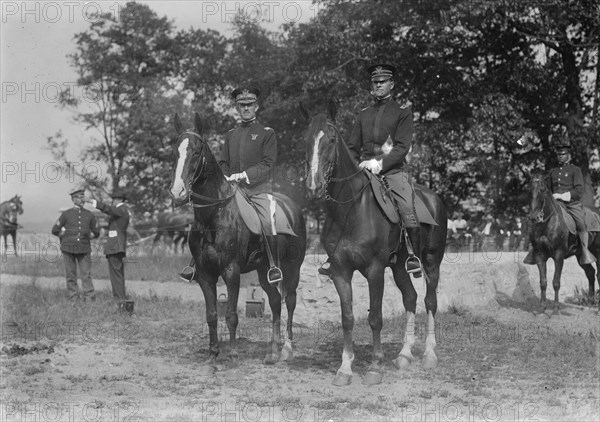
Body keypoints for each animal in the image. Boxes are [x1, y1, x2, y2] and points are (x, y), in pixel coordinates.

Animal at [170, 113, 308, 372]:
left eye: (196, 151)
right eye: (177, 151)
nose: (178, 193)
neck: (214, 215)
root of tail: (293, 207)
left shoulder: (231, 271)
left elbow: (232, 315)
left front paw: (233, 354)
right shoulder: (205, 274)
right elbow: (212, 314)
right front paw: (213, 354)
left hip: (292, 268)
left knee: (290, 301)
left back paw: (287, 349)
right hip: (265, 270)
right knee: (275, 301)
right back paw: (272, 352)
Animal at [304, 107, 446, 388]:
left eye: (331, 140)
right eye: (308, 140)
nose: (314, 187)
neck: (351, 209)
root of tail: (434, 198)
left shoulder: (375, 271)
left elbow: (375, 318)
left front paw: (375, 367)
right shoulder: (340, 272)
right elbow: (347, 318)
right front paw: (345, 368)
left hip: (431, 263)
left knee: (430, 301)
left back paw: (429, 355)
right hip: (400, 267)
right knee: (410, 298)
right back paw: (404, 355)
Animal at [528, 173, 596, 312]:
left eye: (543, 190)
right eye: (529, 191)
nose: (534, 217)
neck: (547, 224)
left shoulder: (559, 255)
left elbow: (556, 282)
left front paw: (556, 308)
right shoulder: (539, 255)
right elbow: (543, 282)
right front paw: (542, 307)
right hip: (580, 256)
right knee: (590, 273)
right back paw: (590, 301)